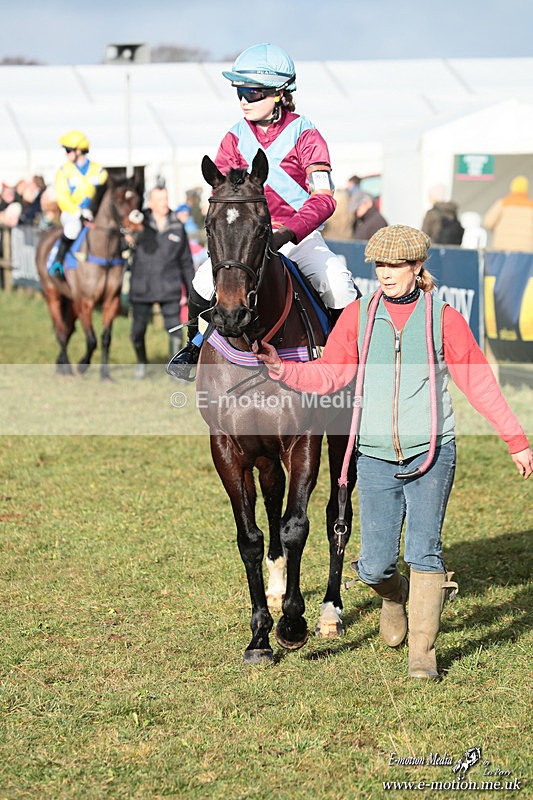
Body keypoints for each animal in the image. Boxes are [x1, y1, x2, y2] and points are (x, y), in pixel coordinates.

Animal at [36, 177, 143, 379]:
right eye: (118, 200)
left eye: (137, 198)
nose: (136, 227)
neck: (103, 253)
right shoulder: (85, 301)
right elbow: (92, 339)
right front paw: (82, 365)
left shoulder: (111, 301)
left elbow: (106, 338)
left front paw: (105, 375)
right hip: (52, 294)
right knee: (60, 332)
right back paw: (67, 368)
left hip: (71, 300)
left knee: (67, 330)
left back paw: (60, 364)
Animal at [195, 150, 357, 664]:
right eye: (208, 225)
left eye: (264, 226)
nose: (230, 314)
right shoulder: (228, 447)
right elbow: (251, 536)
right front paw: (260, 635)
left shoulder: (302, 441)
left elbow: (295, 526)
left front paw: (291, 623)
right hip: (263, 454)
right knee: (271, 502)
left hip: (342, 437)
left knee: (337, 514)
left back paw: (328, 609)